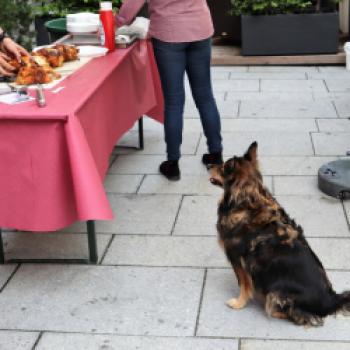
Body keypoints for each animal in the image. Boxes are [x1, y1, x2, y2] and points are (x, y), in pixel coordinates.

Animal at [209, 142, 348, 326]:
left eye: (223, 167)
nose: (209, 165)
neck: (247, 201)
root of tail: (332, 300)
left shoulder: (238, 259)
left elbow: (244, 284)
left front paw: (239, 303)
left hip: (276, 292)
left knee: (296, 315)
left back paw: (271, 308)